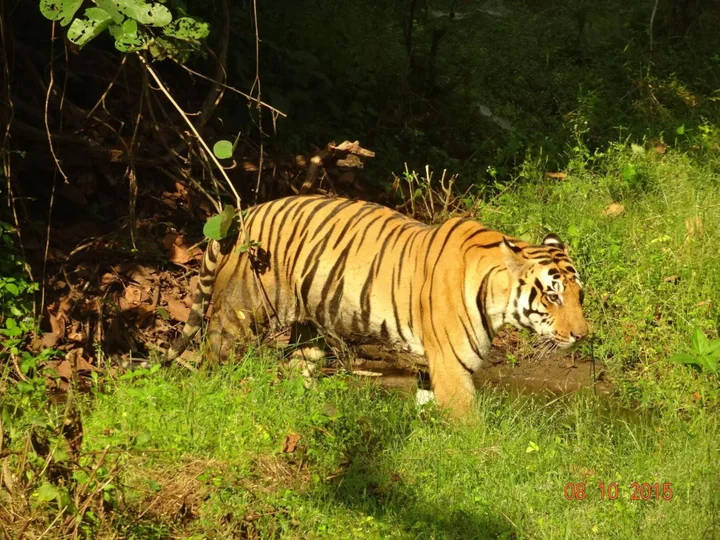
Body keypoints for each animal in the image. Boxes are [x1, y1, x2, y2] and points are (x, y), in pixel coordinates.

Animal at [166, 194, 588, 416]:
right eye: (553, 295)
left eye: (579, 296)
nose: (583, 336)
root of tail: (245, 213)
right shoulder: (453, 367)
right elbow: (471, 429)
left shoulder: (432, 364)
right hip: (242, 314)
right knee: (213, 357)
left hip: (310, 329)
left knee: (297, 366)